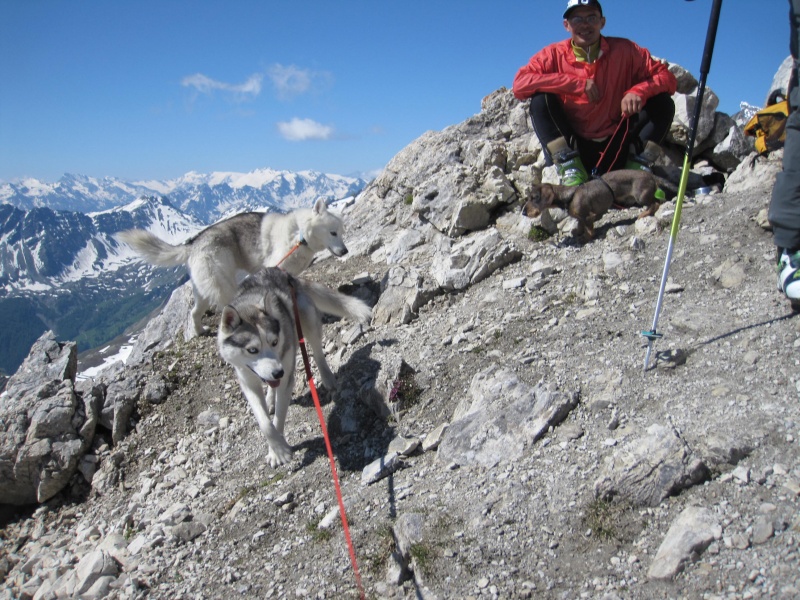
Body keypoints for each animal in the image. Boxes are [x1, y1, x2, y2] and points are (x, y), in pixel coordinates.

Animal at [117, 200, 348, 338]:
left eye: (342, 232)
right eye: (333, 232)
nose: (345, 250)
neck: (300, 235)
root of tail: (194, 244)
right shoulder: (274, 266)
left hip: (203, 291)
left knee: (193, 312)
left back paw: (200, 331)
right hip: (223, 285)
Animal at [216, 268, 372, 468]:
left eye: (274, 342)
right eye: (252, 350)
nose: (278, 372)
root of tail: (280, 271)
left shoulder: (286, 376)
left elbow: (279, 417)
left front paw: (279, 452)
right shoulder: (247, 381)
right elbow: (265, 423)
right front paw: (277, 447)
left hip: (307, 319)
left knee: (318, 353)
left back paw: (328, 378)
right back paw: (270, 399)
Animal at [520, 169, 664, 239]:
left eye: (534, 198)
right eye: (528, 198)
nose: (523, 212)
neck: (570, 195)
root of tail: (652, 176)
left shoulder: (588, 216)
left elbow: (589, 230)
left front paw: (585, 237)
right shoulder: (582, 217)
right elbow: (582, 224)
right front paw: (578, 232)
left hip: (641, 197)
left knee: (656, 203)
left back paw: (644, 214)